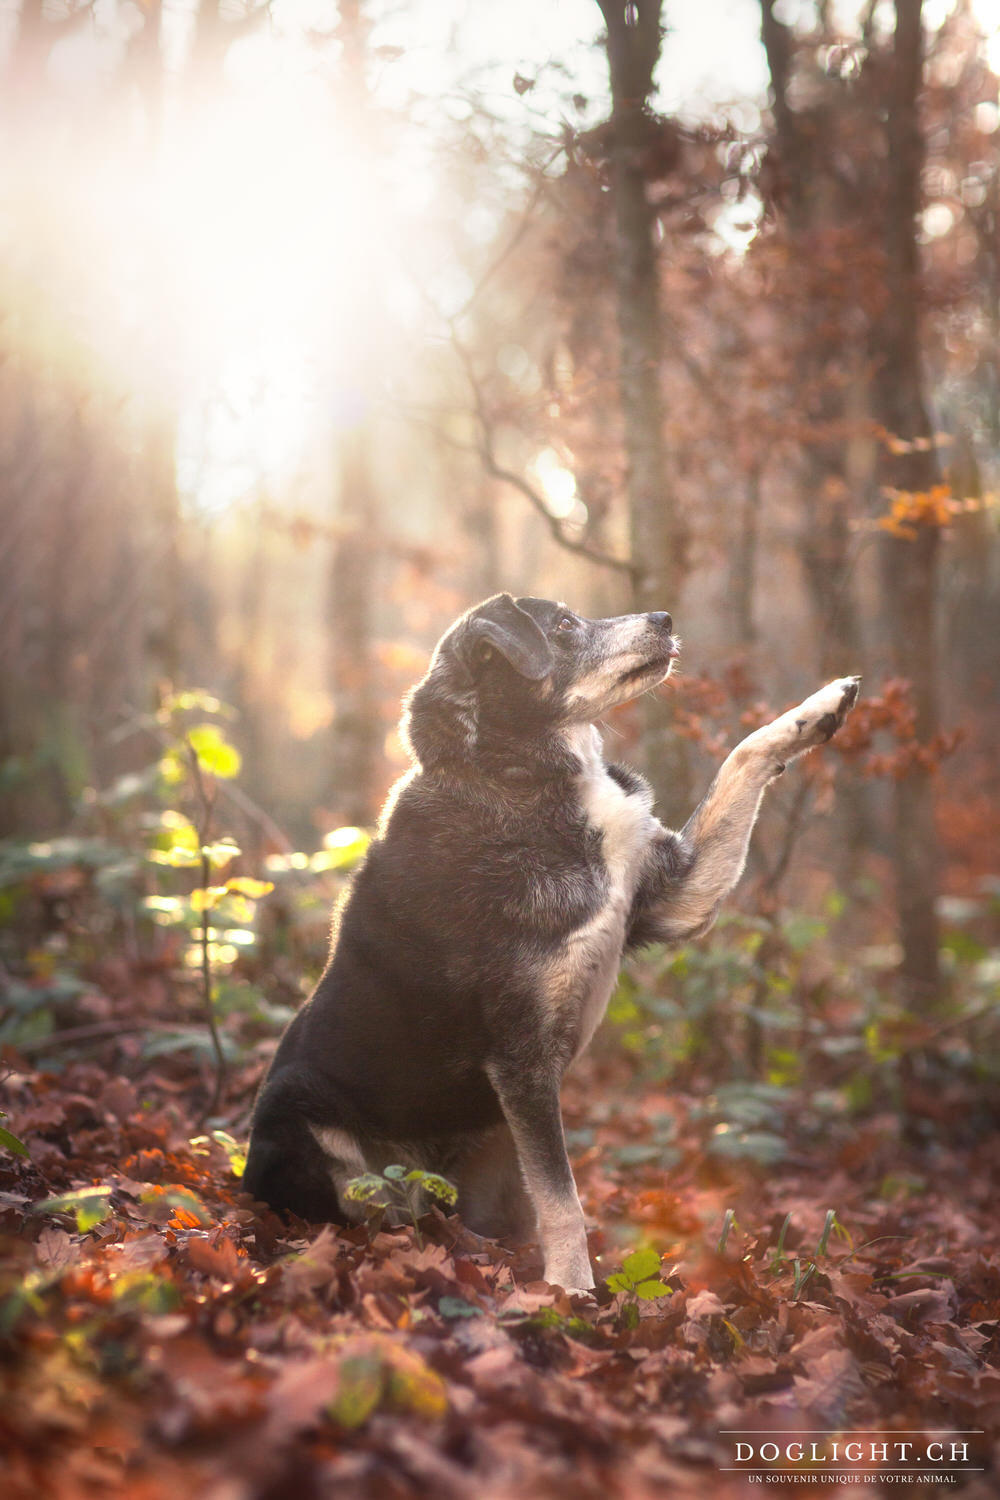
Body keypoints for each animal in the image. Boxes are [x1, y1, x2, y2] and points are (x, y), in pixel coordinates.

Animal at [244, 588, 863, 1290]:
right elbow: (564, 1200)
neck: (522, 777)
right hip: (306, 1113)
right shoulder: (522, 1053)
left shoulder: (677, 896)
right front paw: (574, 1293)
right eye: (564, 626)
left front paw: (820, 707)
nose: (665, 620)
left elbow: (742, 756)